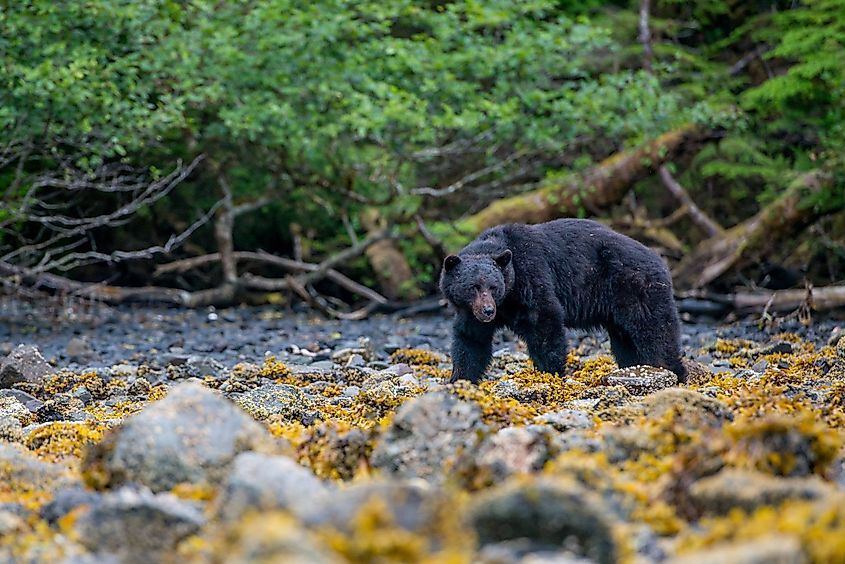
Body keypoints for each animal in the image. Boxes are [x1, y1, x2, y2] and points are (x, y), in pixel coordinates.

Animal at [439, 218, 687, 383]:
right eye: (473, 287)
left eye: (493, 286)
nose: (488, 311)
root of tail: (660, 260)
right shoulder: (471, 313)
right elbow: (470, 341)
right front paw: (460, 379)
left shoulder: (532, 277)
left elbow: (545, 323)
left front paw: (550, 373)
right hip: (620, 309)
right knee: (626, 341)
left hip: (637, 288)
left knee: (656, 333)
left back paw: (673, 373)